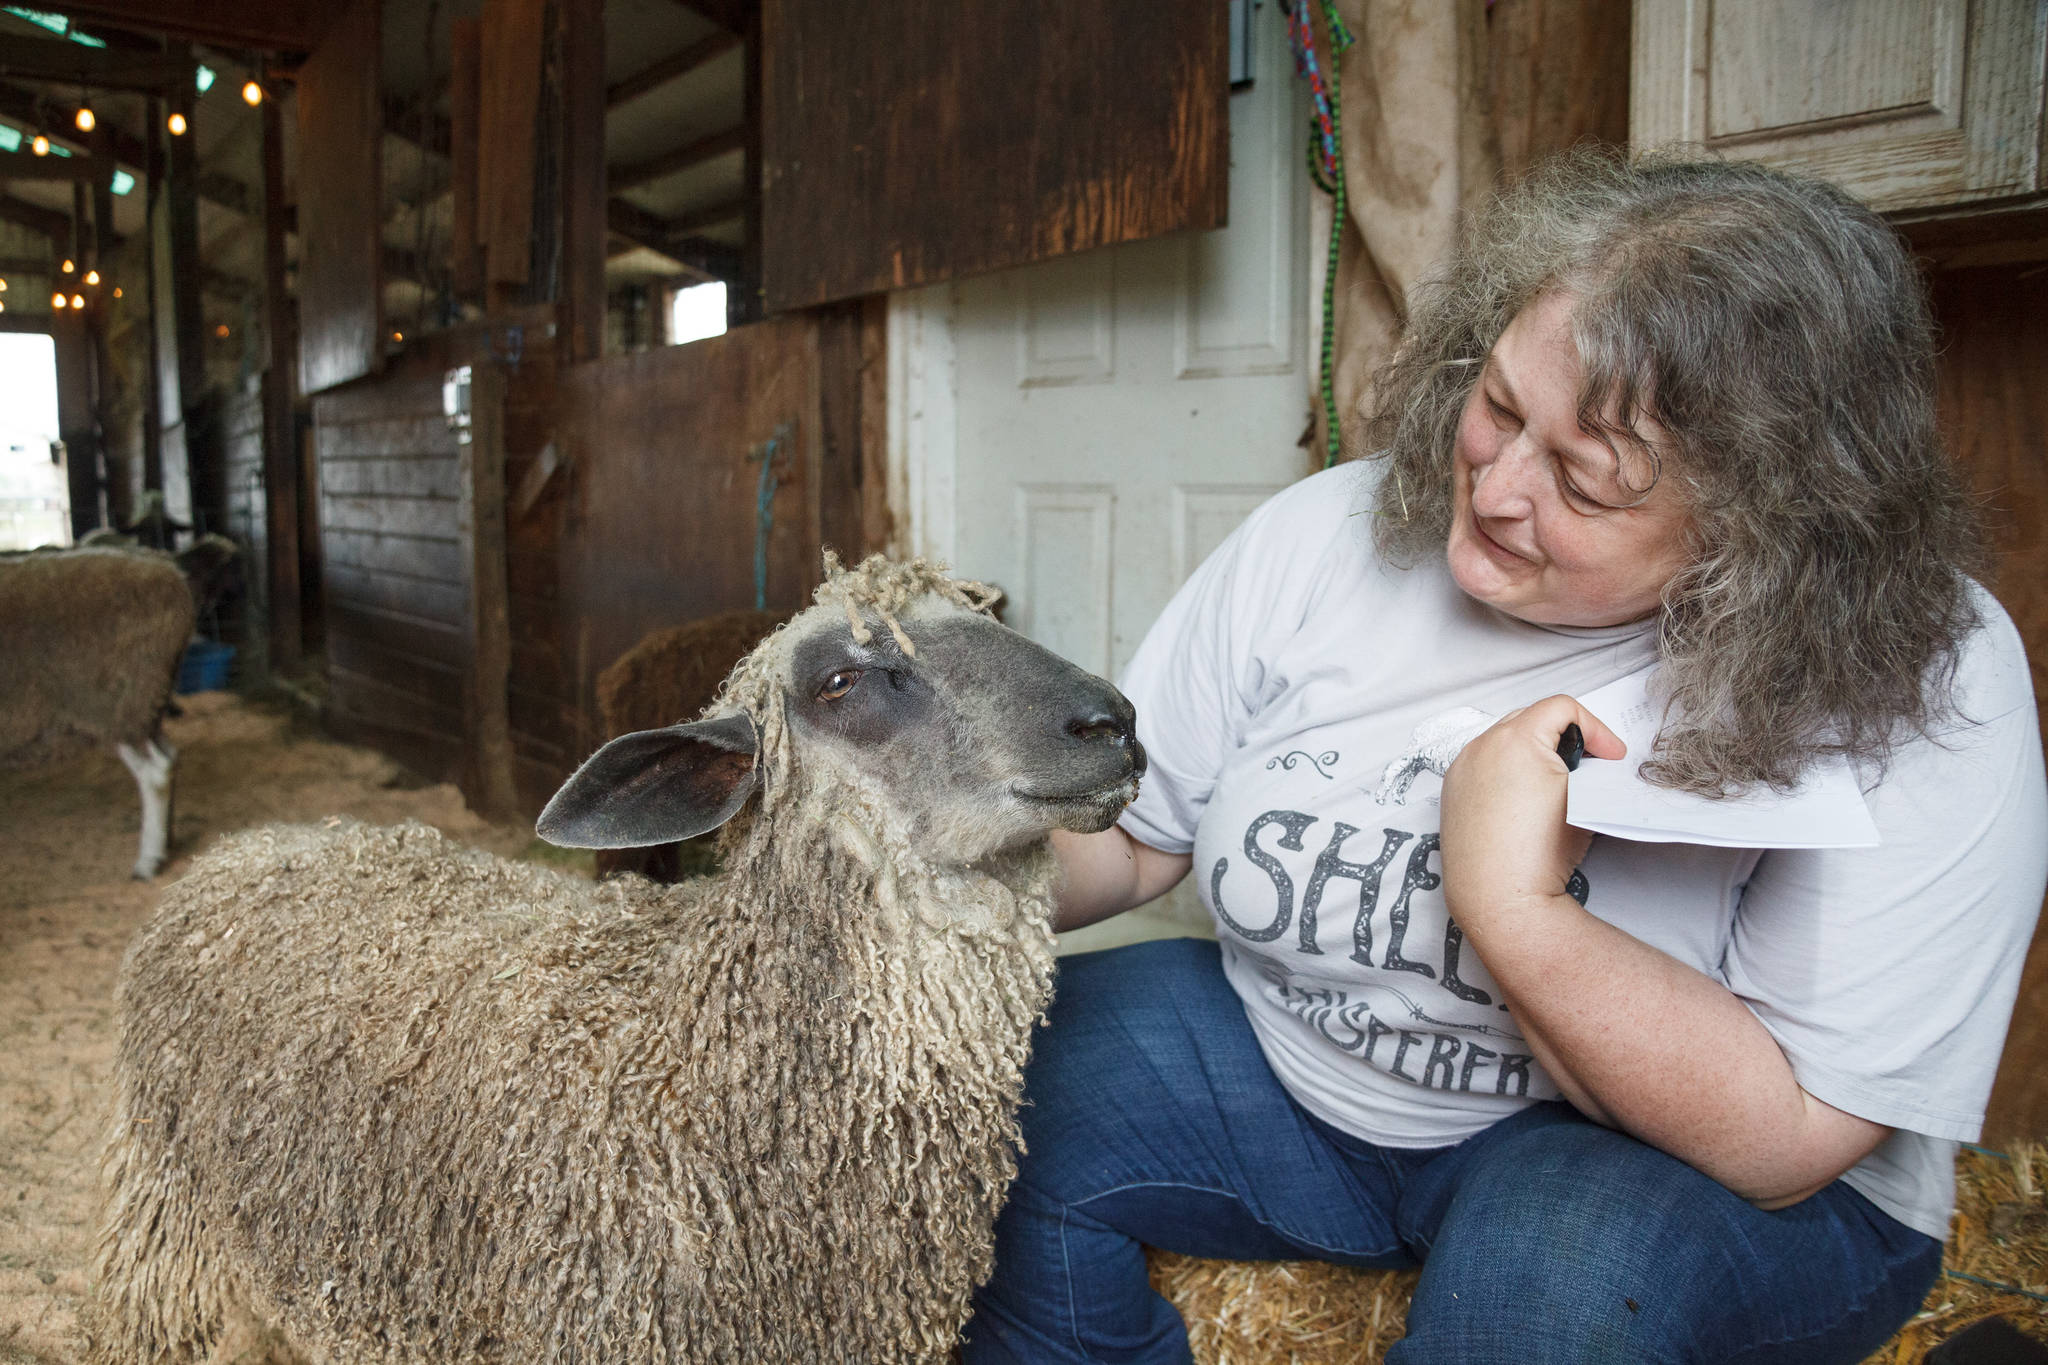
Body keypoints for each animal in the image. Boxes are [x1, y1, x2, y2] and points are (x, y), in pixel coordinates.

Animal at [0, 540, 211, 879]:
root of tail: (171, 574)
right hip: (148, 703)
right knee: (171, 757)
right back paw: (167, 840)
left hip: (115, 705)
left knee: (155, 773)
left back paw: (148, 859)